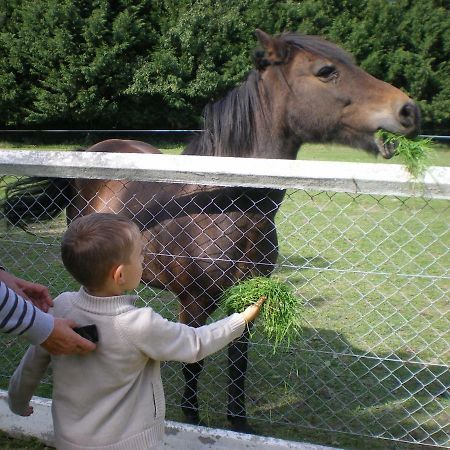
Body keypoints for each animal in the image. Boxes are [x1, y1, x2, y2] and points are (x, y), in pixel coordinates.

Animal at [3, 29, 420, 432]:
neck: (224, 204)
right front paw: (192, 417)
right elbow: (194, 360)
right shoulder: (195, 302)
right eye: (325, 70)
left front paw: (240, 421)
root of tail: (92, 152)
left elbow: (238, 360)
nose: (408, 110)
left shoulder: (244, 297)